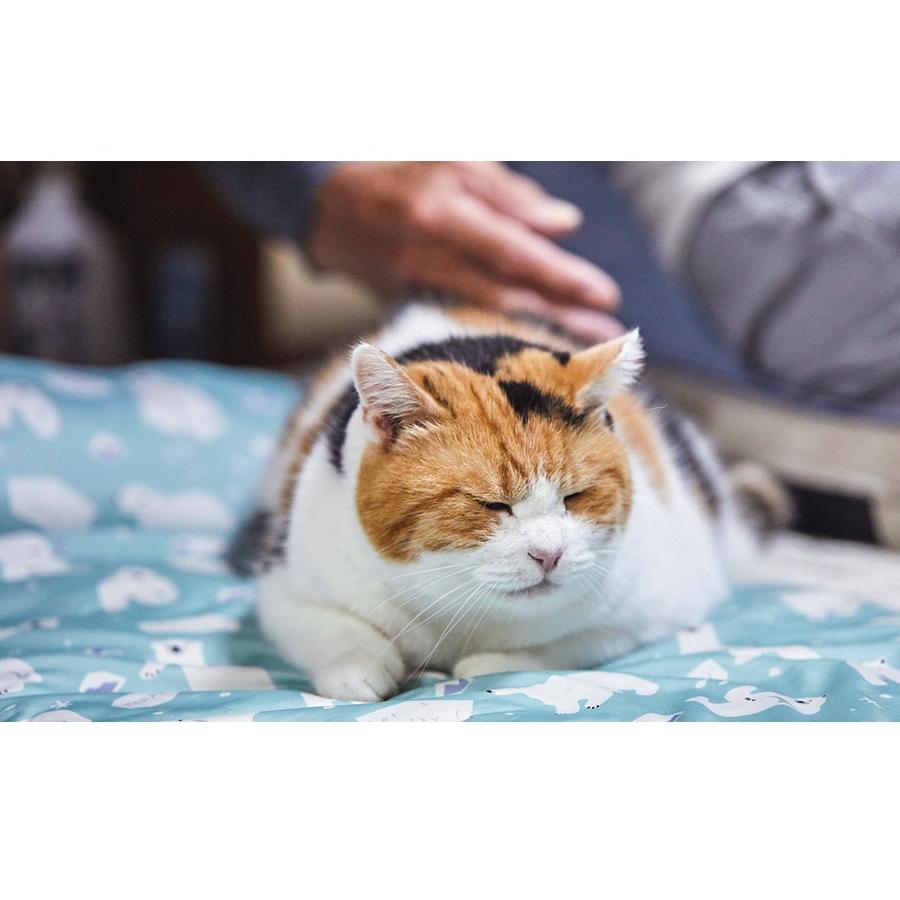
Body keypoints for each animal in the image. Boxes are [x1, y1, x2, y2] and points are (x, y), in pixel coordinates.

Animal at [241, 302, 755, 702]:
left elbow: (570, 644)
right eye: (490, 504)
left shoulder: (665, 598)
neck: (461, 614)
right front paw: (360, 668)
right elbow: (334, 631)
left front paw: (490, 662)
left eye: (576, 496)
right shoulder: (287, 584)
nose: (549, 554)